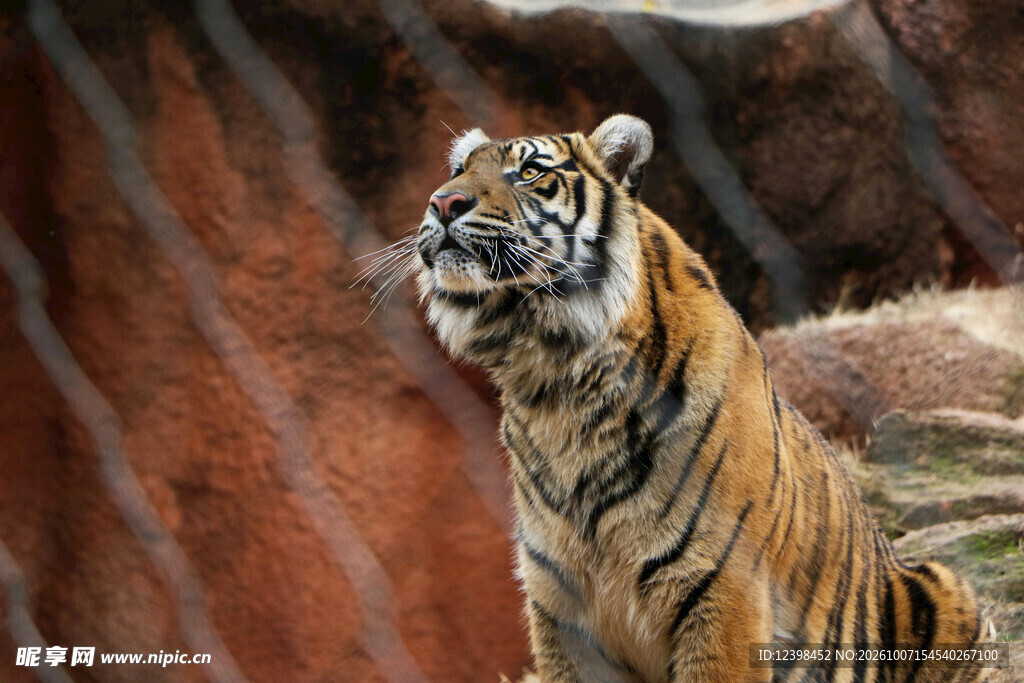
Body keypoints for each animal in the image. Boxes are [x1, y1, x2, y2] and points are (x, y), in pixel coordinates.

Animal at [404, 114, 986, 682]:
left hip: (953, 591)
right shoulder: (560, 609)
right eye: (458, 169)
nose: (443, 202)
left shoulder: (724, 590)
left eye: (528, 172)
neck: (554, 377)